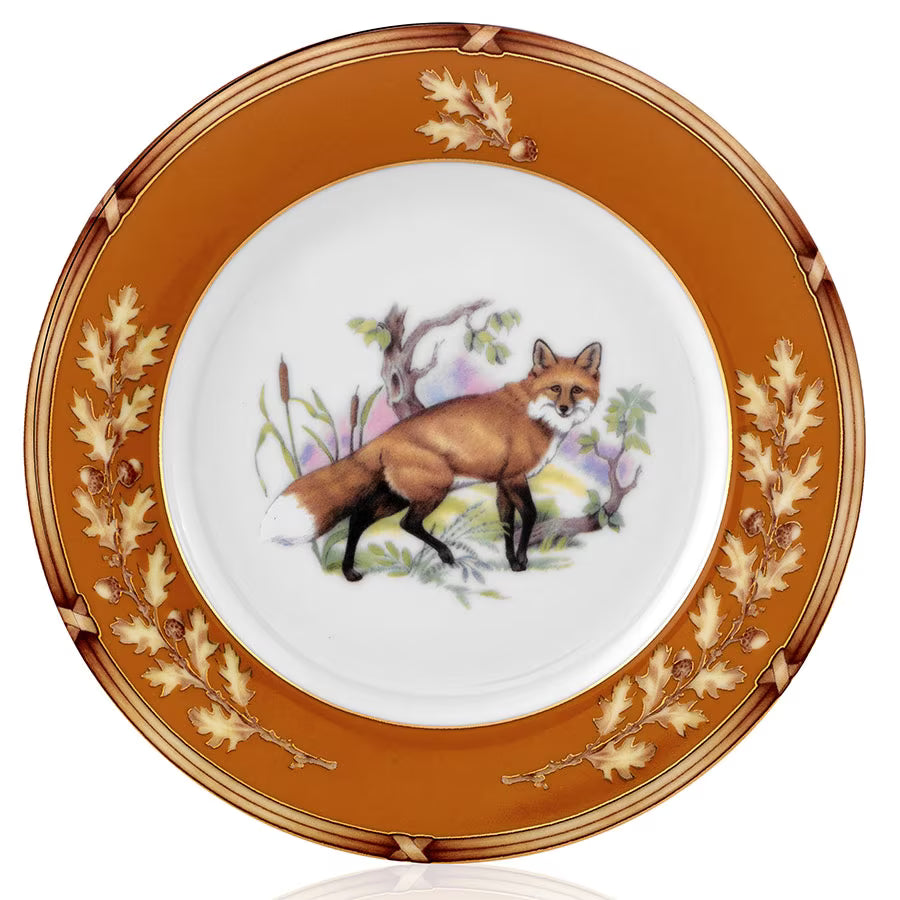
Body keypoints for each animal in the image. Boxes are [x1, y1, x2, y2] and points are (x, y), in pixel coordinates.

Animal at [261, 339, 602, 581]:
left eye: (577, 390)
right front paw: (522, 562)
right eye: (556, 388)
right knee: (407, 523)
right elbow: (529, 516)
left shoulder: (503, 482)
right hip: (435, 488)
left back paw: (349, 572)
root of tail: (384, 437)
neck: (534, 412)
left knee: (358, 519)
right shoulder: (514, 477)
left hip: (395, 496)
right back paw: (445, 554)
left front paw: (511, 562)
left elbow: (507, 523)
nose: (564, 409)